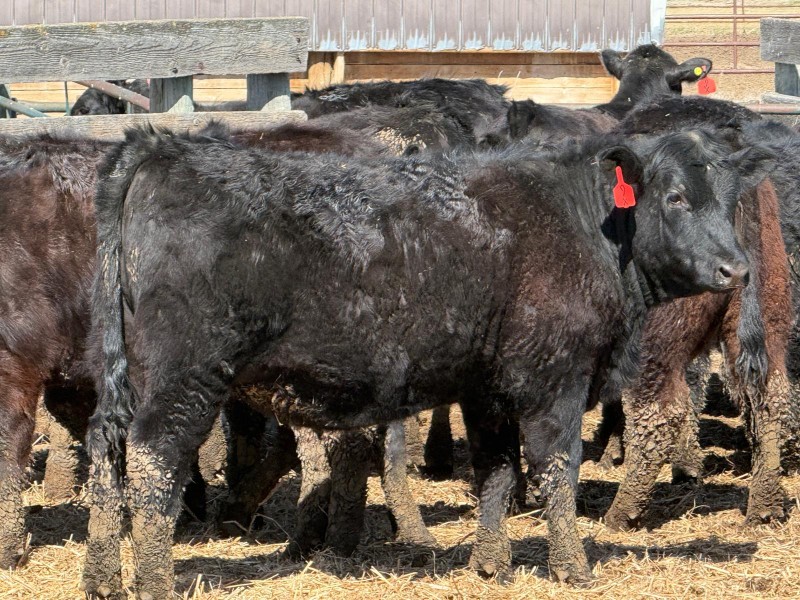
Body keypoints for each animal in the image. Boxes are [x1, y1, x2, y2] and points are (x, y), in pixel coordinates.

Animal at [80, 123, 768, 598]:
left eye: (730, 196)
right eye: (675, 197)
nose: (736, 269)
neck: (584, 225)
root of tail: (161, 151)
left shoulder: (488, 388)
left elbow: (495, 474)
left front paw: (490, 566)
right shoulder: (556, 381)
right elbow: (556, 472)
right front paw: (573, 568)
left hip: (127, 382)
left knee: (107, 456)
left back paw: (103, 578)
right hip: (186, 380)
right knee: (153, 465)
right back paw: (156, 582)